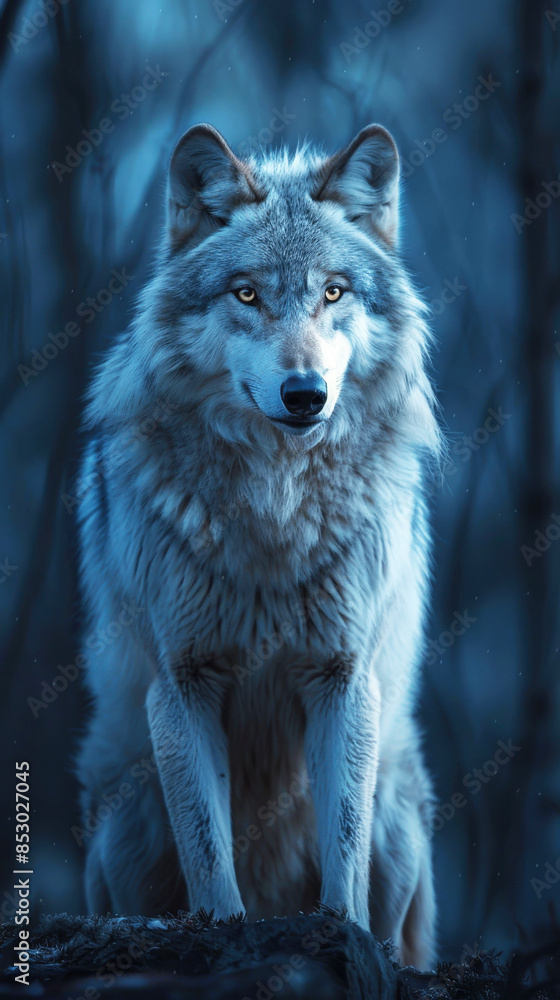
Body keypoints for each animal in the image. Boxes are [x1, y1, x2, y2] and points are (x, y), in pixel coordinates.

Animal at [76, 122, 442, 969]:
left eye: (334, 292)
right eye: (246, 293)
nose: (305, 394)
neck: (277, 511)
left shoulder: (343, 679)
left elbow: (344, 853)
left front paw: (344, 938)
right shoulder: (182, 685)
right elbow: (209, 851)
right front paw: (222, 933)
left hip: (399, 807)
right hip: (126, 810)